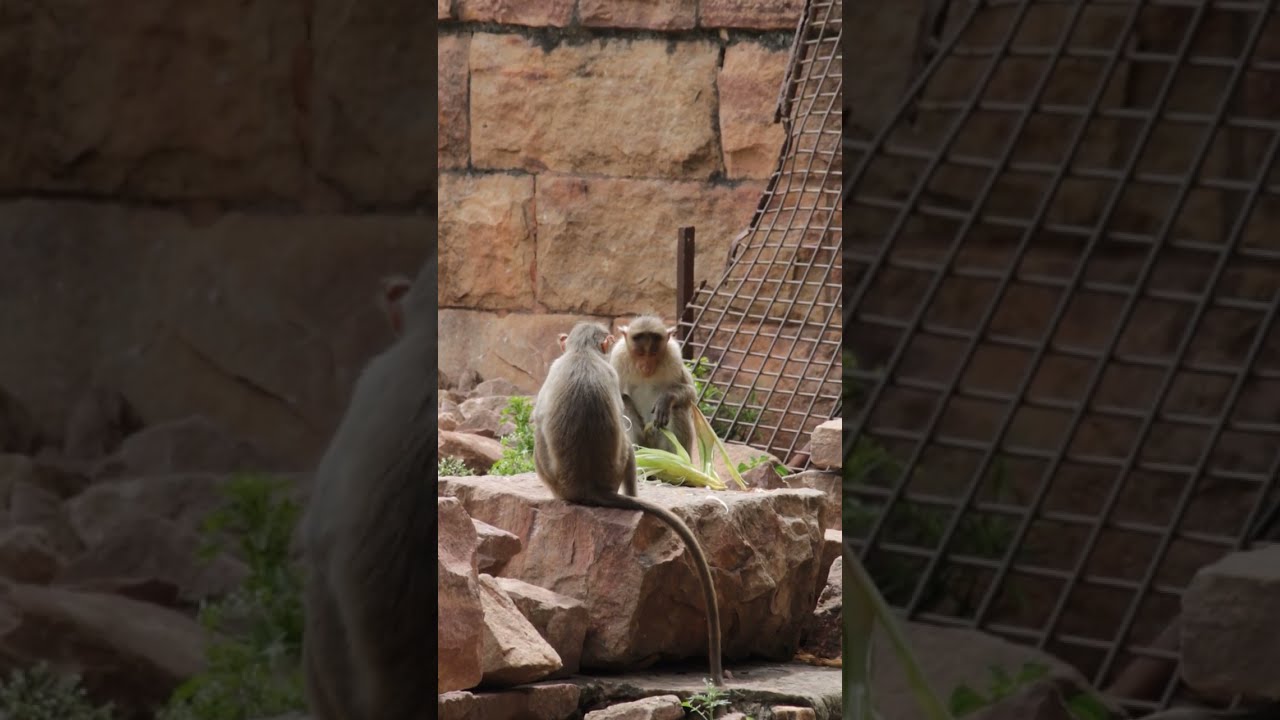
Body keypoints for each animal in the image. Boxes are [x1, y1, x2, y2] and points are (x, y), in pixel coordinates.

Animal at [609, 315, 698, 458]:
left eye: (653, 353)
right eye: (640, 354)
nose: (646, 367)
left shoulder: (674, 356)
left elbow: (691, 394)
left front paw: (666, 398)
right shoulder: (618, 356)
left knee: (677, 408)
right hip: (644, 441)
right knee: (624, 401)